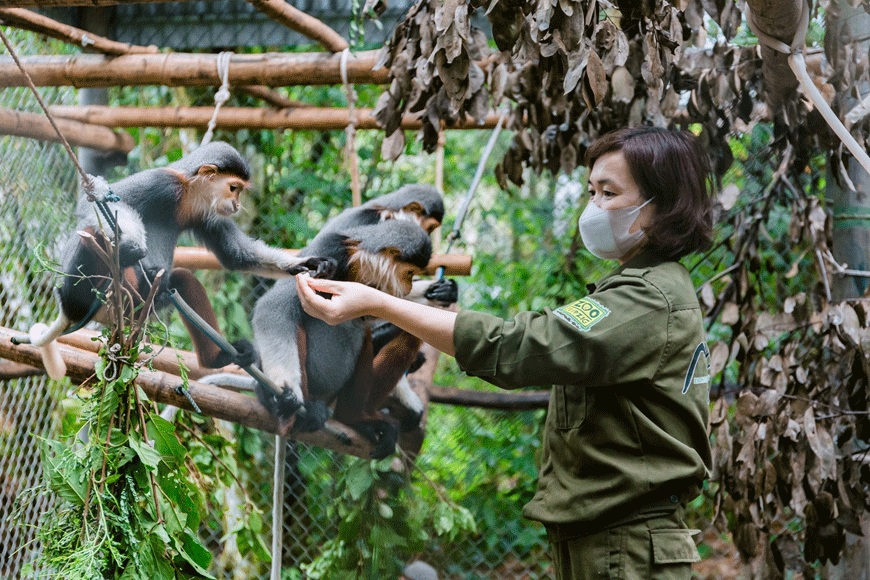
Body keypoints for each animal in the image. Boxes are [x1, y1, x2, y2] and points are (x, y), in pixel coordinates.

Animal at [21, 142, 334, 380]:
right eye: (234, 188)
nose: (236, 205)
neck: (186, 193)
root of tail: (70, 312)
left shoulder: (205, 213)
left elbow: (236, 255)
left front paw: (306, 264)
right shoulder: (163, 182)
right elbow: (96, 204)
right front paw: (134, 244)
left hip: (141, 307)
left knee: (181, 280)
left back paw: (215, 358)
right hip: (94, 293)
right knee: (93, 233)